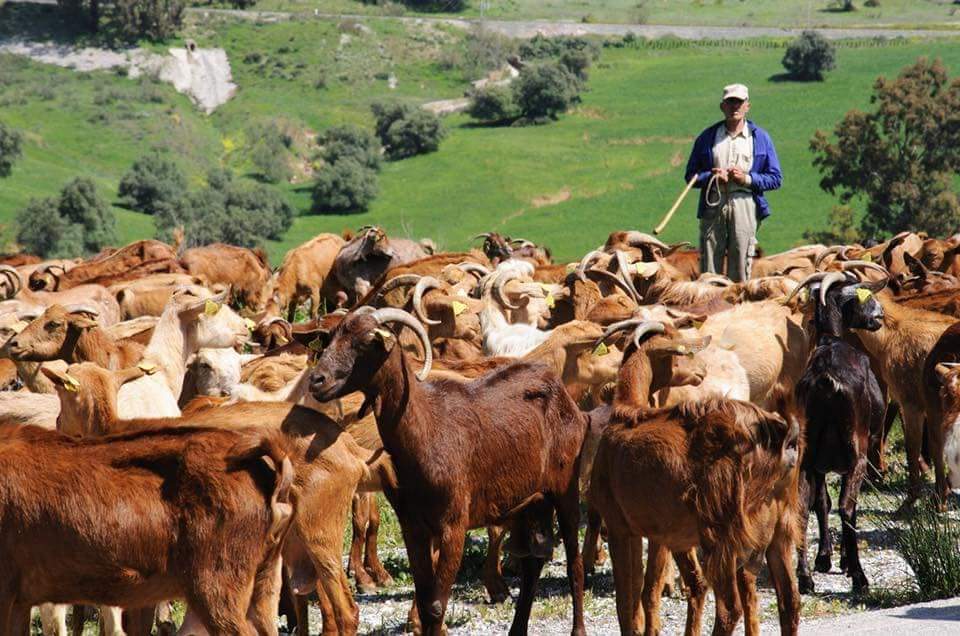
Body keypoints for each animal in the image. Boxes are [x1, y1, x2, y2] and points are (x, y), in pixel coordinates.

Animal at [788, 262, 884, 592]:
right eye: (862, 293)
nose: (880, 315)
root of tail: (826, 378)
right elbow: (838, 504)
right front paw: (842, 561)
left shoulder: (817, 464)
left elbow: (820, 503)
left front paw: (824, 558)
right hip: (857, 453)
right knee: (847, 506)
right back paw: (859, 576)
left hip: (806, 456)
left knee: (802, 507)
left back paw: (804, 578)